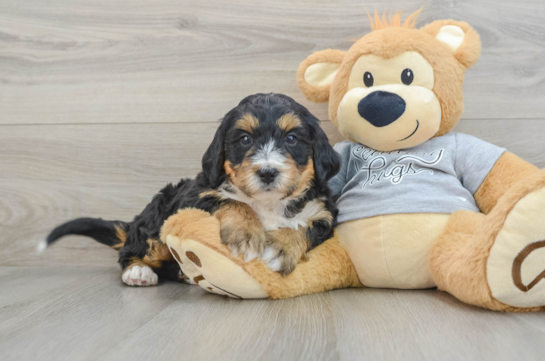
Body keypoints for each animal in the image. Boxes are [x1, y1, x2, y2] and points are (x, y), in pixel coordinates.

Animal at [43, 94, 340, 286]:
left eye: (291, 139)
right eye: (245, 139)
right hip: (158, 220)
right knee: (133, 251)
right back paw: (138, 272)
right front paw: (245, 232)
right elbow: (233, 202)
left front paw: (280, 248)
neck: (267, 203)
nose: (267, 172)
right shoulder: (195, 196)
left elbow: (303, 227)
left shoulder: (324, 214)